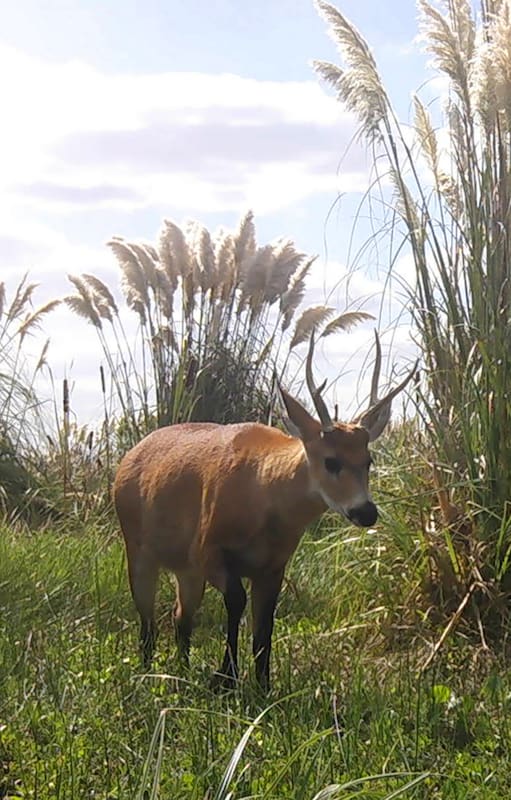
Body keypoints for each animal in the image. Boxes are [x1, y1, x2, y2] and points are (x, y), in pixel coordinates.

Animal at [113, 331, 416, 691]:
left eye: (368, 460)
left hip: (183, 569)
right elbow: (236, 602)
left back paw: (181, 672)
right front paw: (226, 677)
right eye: (331, 461)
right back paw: (147, 674)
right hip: (138, 547)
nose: (366, 512)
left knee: (180, 617)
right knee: (147, 620)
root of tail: (128, 458)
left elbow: (265, 625)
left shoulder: (273, 565)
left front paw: (262, 684)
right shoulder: (207, 548)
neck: (262, 499)